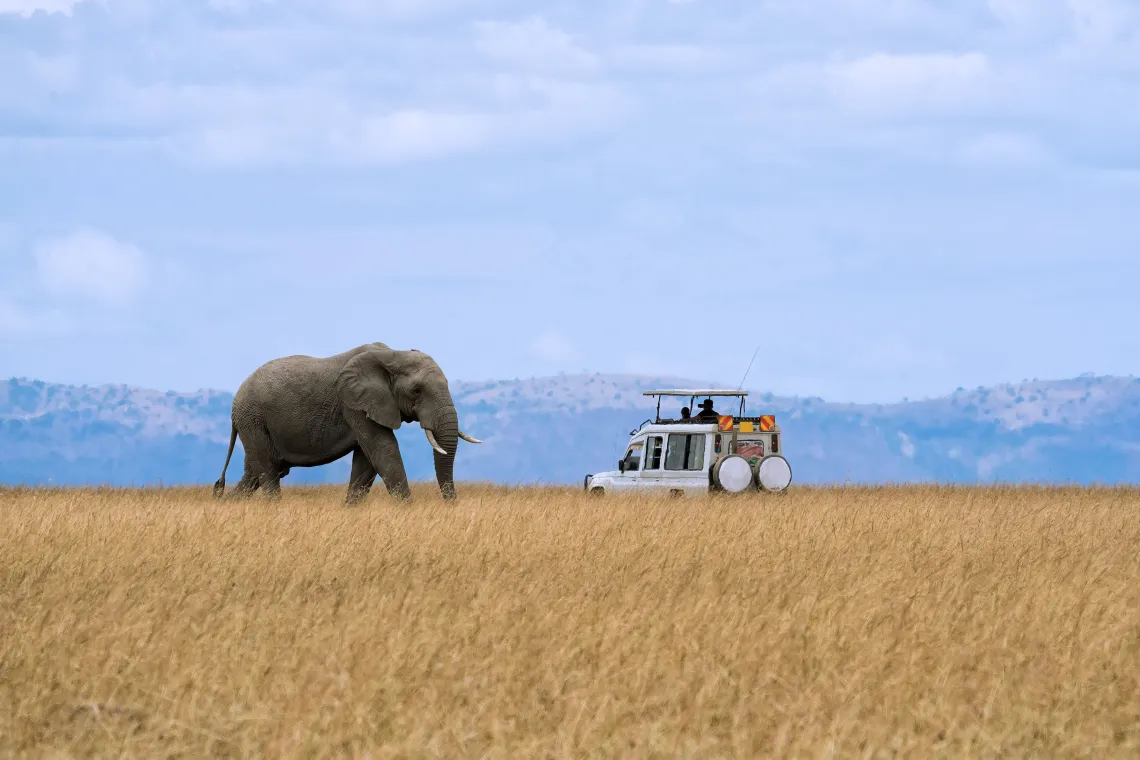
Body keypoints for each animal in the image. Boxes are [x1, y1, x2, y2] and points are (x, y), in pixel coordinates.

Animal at [212, 342, 482, 504]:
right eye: (416, 391)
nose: (450, 506)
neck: (392, 354)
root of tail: (236, 401)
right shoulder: (355, 403)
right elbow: (384, 450)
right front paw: (408, 510)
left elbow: (367, 461)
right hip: (253, 420)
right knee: (268, 471)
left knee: (257, 472)